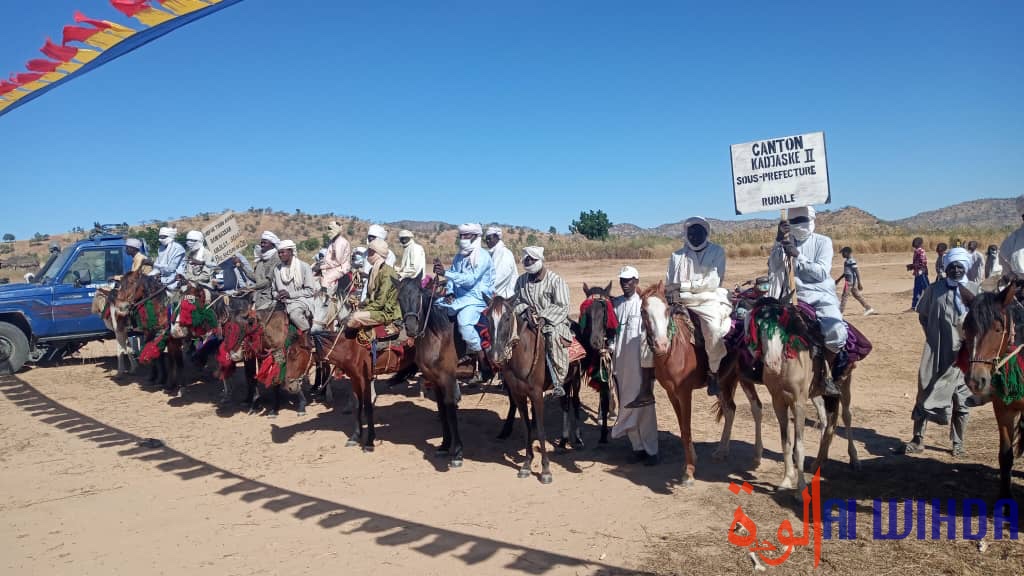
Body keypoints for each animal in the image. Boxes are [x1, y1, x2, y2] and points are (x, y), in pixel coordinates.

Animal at [397, 272, 466, 467]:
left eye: (419, 296)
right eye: (399, 298)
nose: (411, 328)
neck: (437, 336)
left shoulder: (448, 379)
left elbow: (450, 412)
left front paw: (457, 452)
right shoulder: (435, 380)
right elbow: (442, 410)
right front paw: (444, 445)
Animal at [958, 284, 1024, 500]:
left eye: (997, 329)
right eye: (966, 329)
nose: (975, 380)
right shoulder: (1003, 409)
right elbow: (1005, 456)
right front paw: (1005, 499)